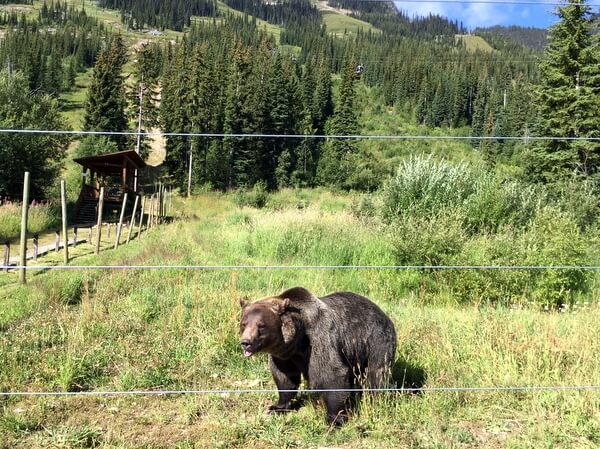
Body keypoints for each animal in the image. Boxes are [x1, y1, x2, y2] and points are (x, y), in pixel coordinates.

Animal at [239, 286, 398, 426]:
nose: (246, 342)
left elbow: (332, 374)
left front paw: (334, 419)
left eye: (261, 326)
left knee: (376, 374)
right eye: (244, 324)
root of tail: (381, 311)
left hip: (376, 340)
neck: (297, 342)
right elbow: (285, 377)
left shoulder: (320, 339)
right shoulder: (284, 355)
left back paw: (375, 399)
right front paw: (276, 407)